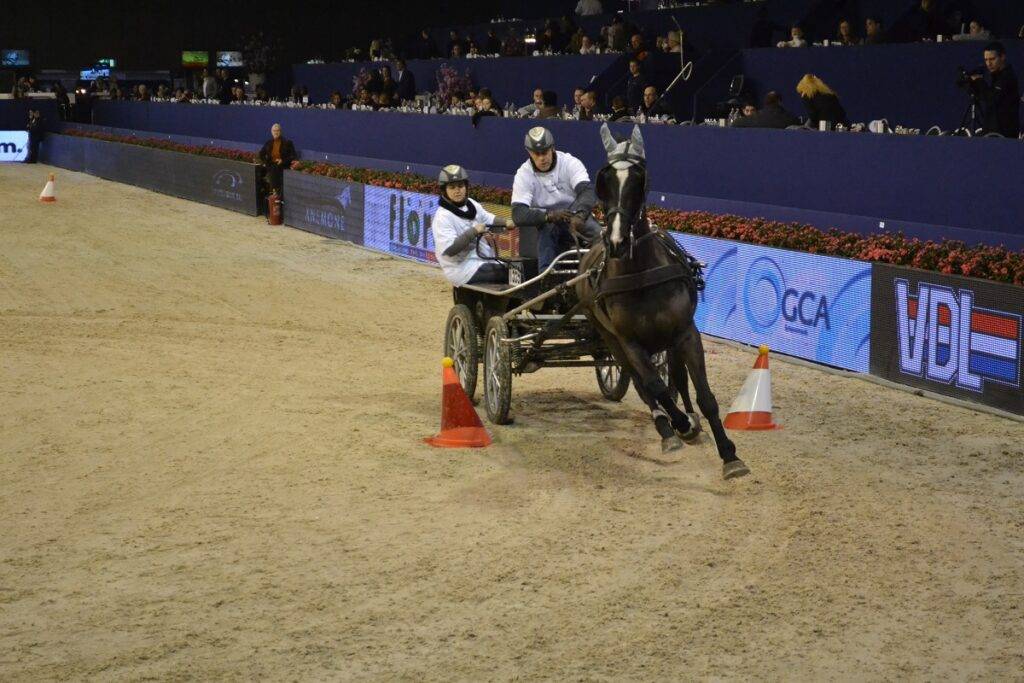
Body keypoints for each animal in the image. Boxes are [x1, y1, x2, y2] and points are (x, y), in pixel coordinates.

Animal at [577, 124, 753, 481]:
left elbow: (703, 395)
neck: (640, 272)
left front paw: (729, 455)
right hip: (610, 341)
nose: (616, 241)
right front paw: (680, 426)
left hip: (666, 341)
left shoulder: (685, 333)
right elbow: (654, 386)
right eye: (605, 181)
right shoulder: (628, 342)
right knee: (645, 385)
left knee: (678, 379)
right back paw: (668, 429)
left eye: (638, 180)